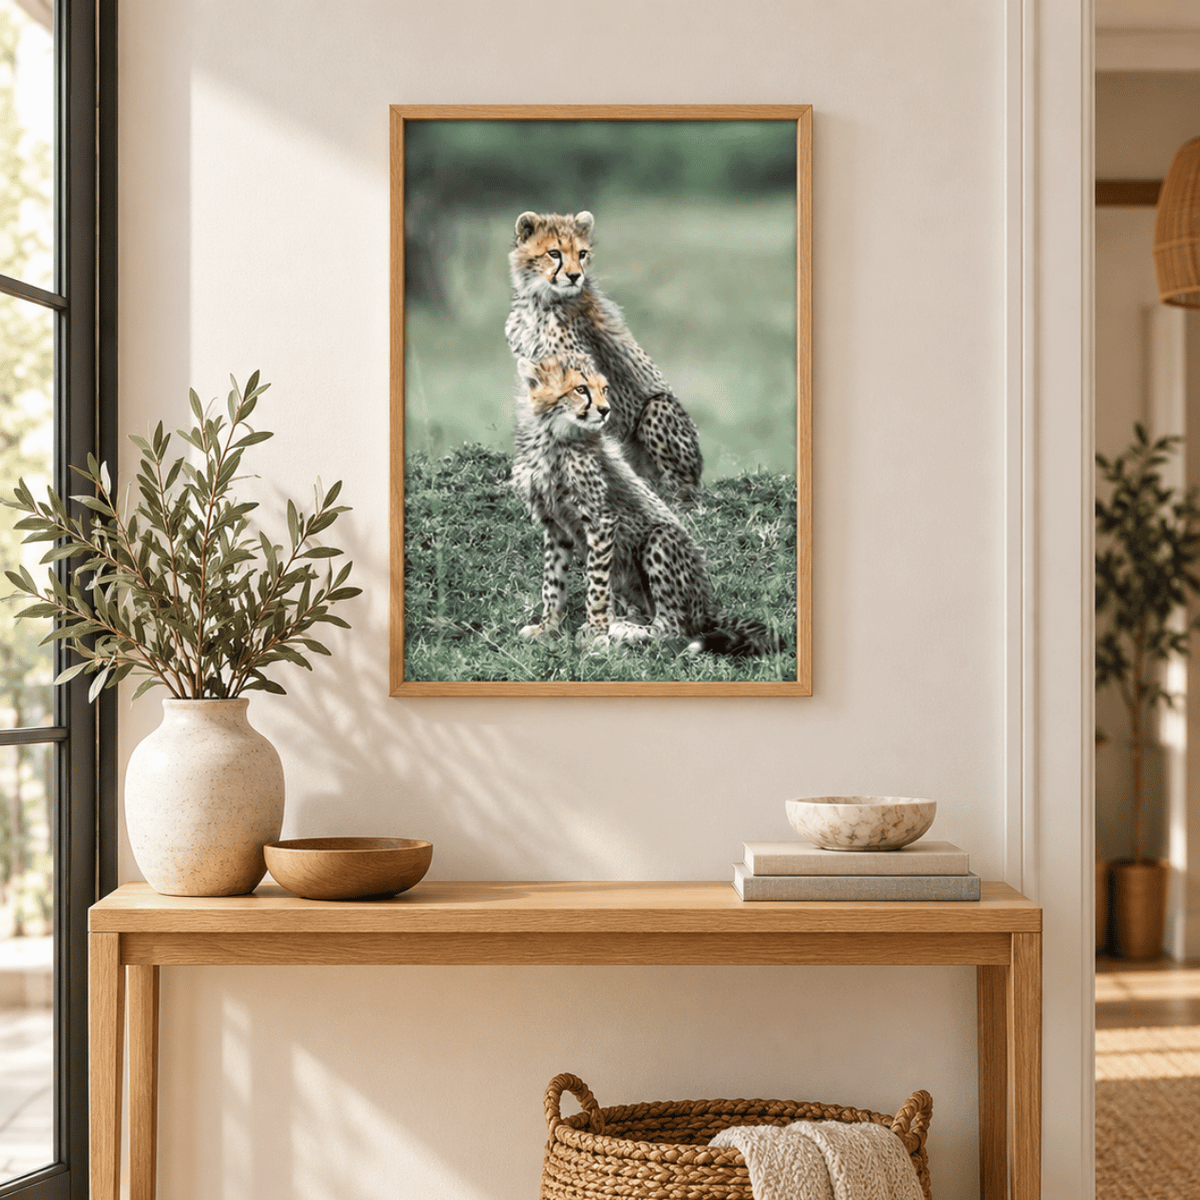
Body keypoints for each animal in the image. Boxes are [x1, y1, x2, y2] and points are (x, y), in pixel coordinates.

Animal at [505, 210, 704, 505]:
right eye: (554, 253)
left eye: (582, 253)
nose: (574, 276)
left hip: (659, 407)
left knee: (679, 487)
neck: (539, 300)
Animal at [512, 353, 783, 657]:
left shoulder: (602, 520)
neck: (553, 436)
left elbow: (596, 585)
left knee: (674, 628)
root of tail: (707, 604)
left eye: (604, 389)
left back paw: (626, 632)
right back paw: (623, 622)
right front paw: (547, 627)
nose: (605, 410)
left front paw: (595, 630)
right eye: (580, 389)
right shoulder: (555, 526)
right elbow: (553, 582)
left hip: (661, 539)